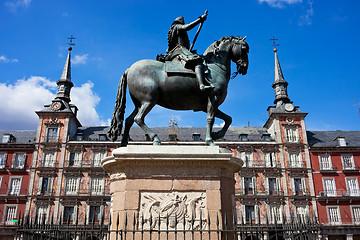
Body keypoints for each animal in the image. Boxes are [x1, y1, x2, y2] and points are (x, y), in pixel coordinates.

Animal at [108, 35, 249, 144]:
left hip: (139, 103)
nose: (244, 67)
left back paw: (124, 145)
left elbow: (228, 119)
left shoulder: (206, 105)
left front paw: (216, 135)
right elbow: (211, 119)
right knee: (138, 119)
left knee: (129, 120)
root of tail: (129, 69)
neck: (214, 67)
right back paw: (155, 139)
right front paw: (210, 140)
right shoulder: (213, 98)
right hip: (149, 100)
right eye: (244, 48)